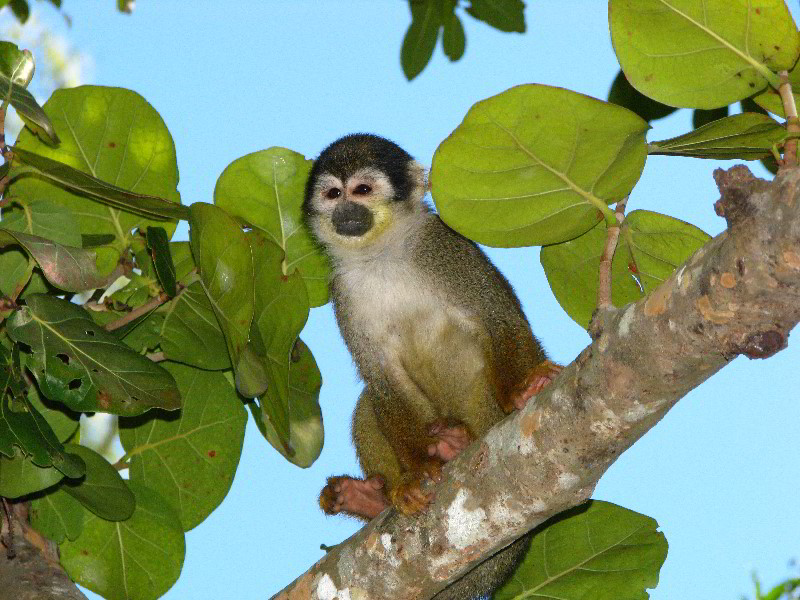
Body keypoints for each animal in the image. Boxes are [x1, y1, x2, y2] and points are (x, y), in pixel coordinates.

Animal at [304, 134, 560, 596]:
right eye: (333, 194)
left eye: (362, 190)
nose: (345, 212)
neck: (381, 255)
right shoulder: (343, 291)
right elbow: (381, 377)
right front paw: (418, 470)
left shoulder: (443, 245)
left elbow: (497, 317)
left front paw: (522, 387)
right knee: (371, 401)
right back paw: (378, 495)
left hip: (485, 415)